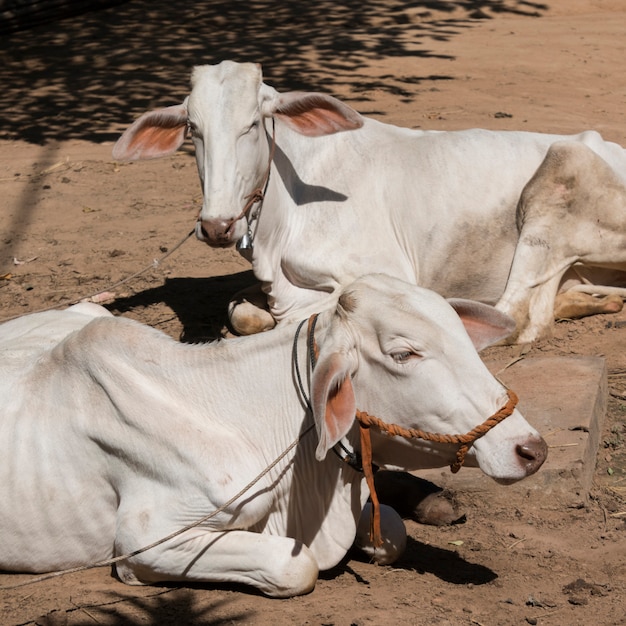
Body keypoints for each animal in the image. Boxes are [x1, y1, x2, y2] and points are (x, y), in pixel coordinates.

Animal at [0, 272, 544, 596]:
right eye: (403, 354)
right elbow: (296, 567)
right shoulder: (145, 541)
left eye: (460, 336)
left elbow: (391, 533)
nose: (531, 449)